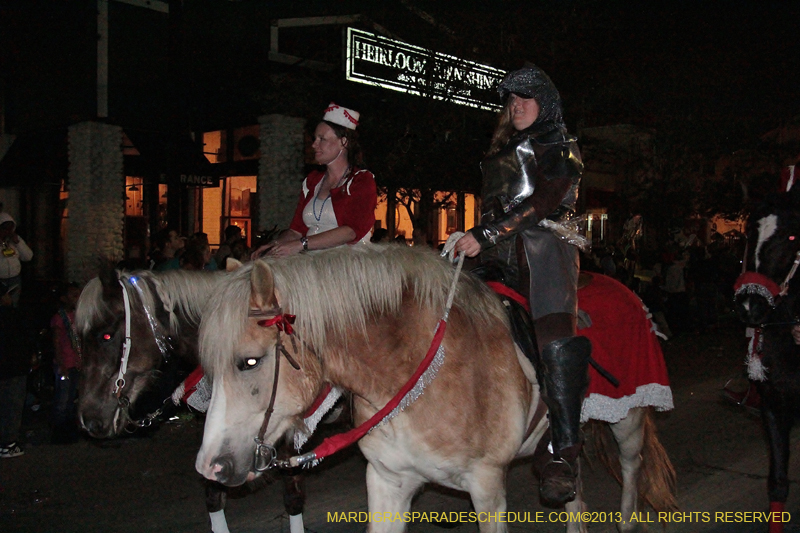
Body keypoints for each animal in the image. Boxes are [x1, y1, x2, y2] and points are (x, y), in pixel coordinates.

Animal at [195, 244, 676, 532]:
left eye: (249, 361)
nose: (210, 467)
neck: (415, 378)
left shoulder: (487, 487)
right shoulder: (387, 481)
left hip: (629, 420)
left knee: (631, 473)